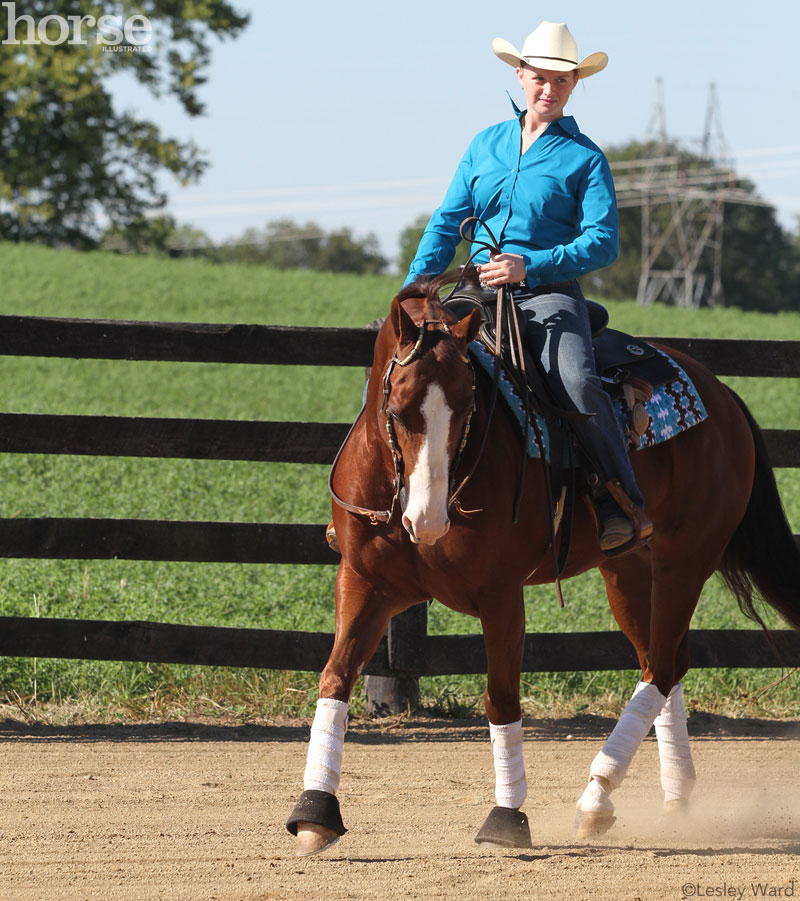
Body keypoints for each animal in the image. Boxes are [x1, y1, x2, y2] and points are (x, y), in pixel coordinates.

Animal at [286, 278, 800, 856]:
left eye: (468, 408)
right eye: (395, 409)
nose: (428, 519)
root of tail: (723, 396)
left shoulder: (501, 594)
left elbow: (502, 697)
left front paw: (506, 817)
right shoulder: (365, 583)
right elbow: (335, 678)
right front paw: (314, 812)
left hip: (684, 563)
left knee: (663, 668)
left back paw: (596, 796)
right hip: (628, 572)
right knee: (663, 663)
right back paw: (671, 798)